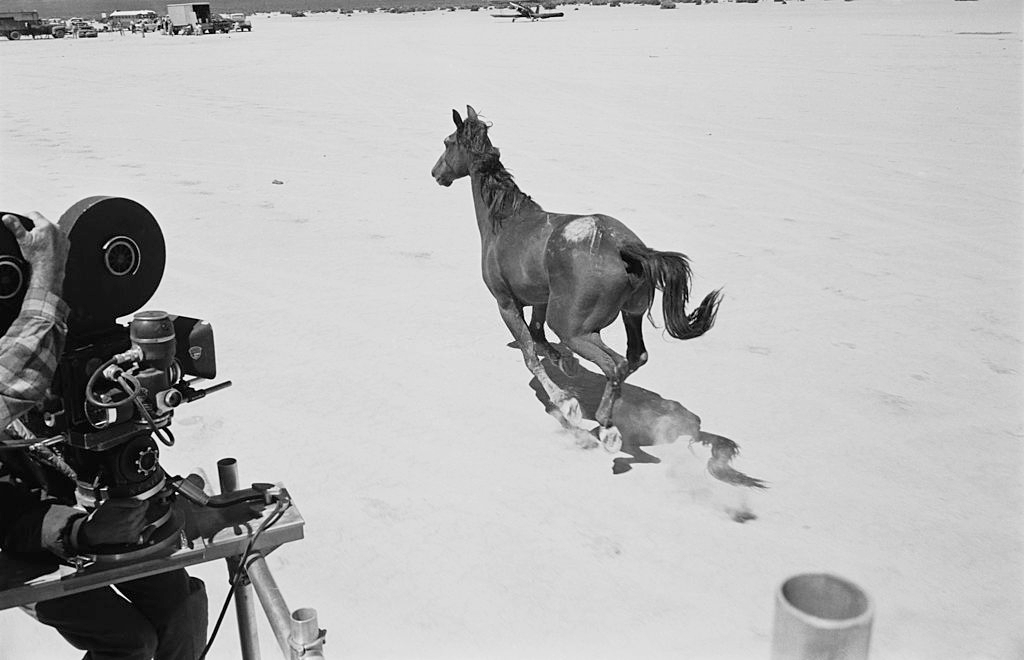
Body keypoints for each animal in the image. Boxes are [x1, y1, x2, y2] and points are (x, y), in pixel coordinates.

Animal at [432, 106, 720, 452]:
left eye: (447, 142)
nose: (436, 173)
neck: (504, 221)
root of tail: (625, 247)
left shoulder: (506, 304)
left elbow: (530, 353)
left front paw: (565, 401)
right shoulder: (541, 300)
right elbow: (538, 336)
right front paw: (564, 364)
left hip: (573, 328)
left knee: (615, 364)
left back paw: (607, 426)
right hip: (629, 314)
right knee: (634, 357)